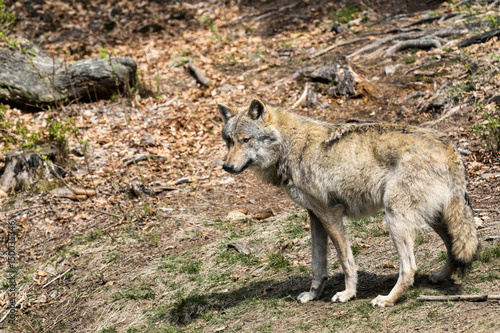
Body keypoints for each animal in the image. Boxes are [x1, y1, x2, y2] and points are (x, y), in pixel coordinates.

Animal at [217, 98, 478, 306]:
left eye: (246, 140)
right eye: (228, 141)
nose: (226, 167)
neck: (290, 146)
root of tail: (447, 144)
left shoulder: (330, 214)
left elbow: (345, 261)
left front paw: (348, 294)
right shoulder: (315, 216)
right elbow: (317, 264)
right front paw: (313, 295)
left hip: (394, 218)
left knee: (410, 267)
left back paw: (388, 300)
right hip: (433, 216)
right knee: (454, 247)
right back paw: (440, 277)